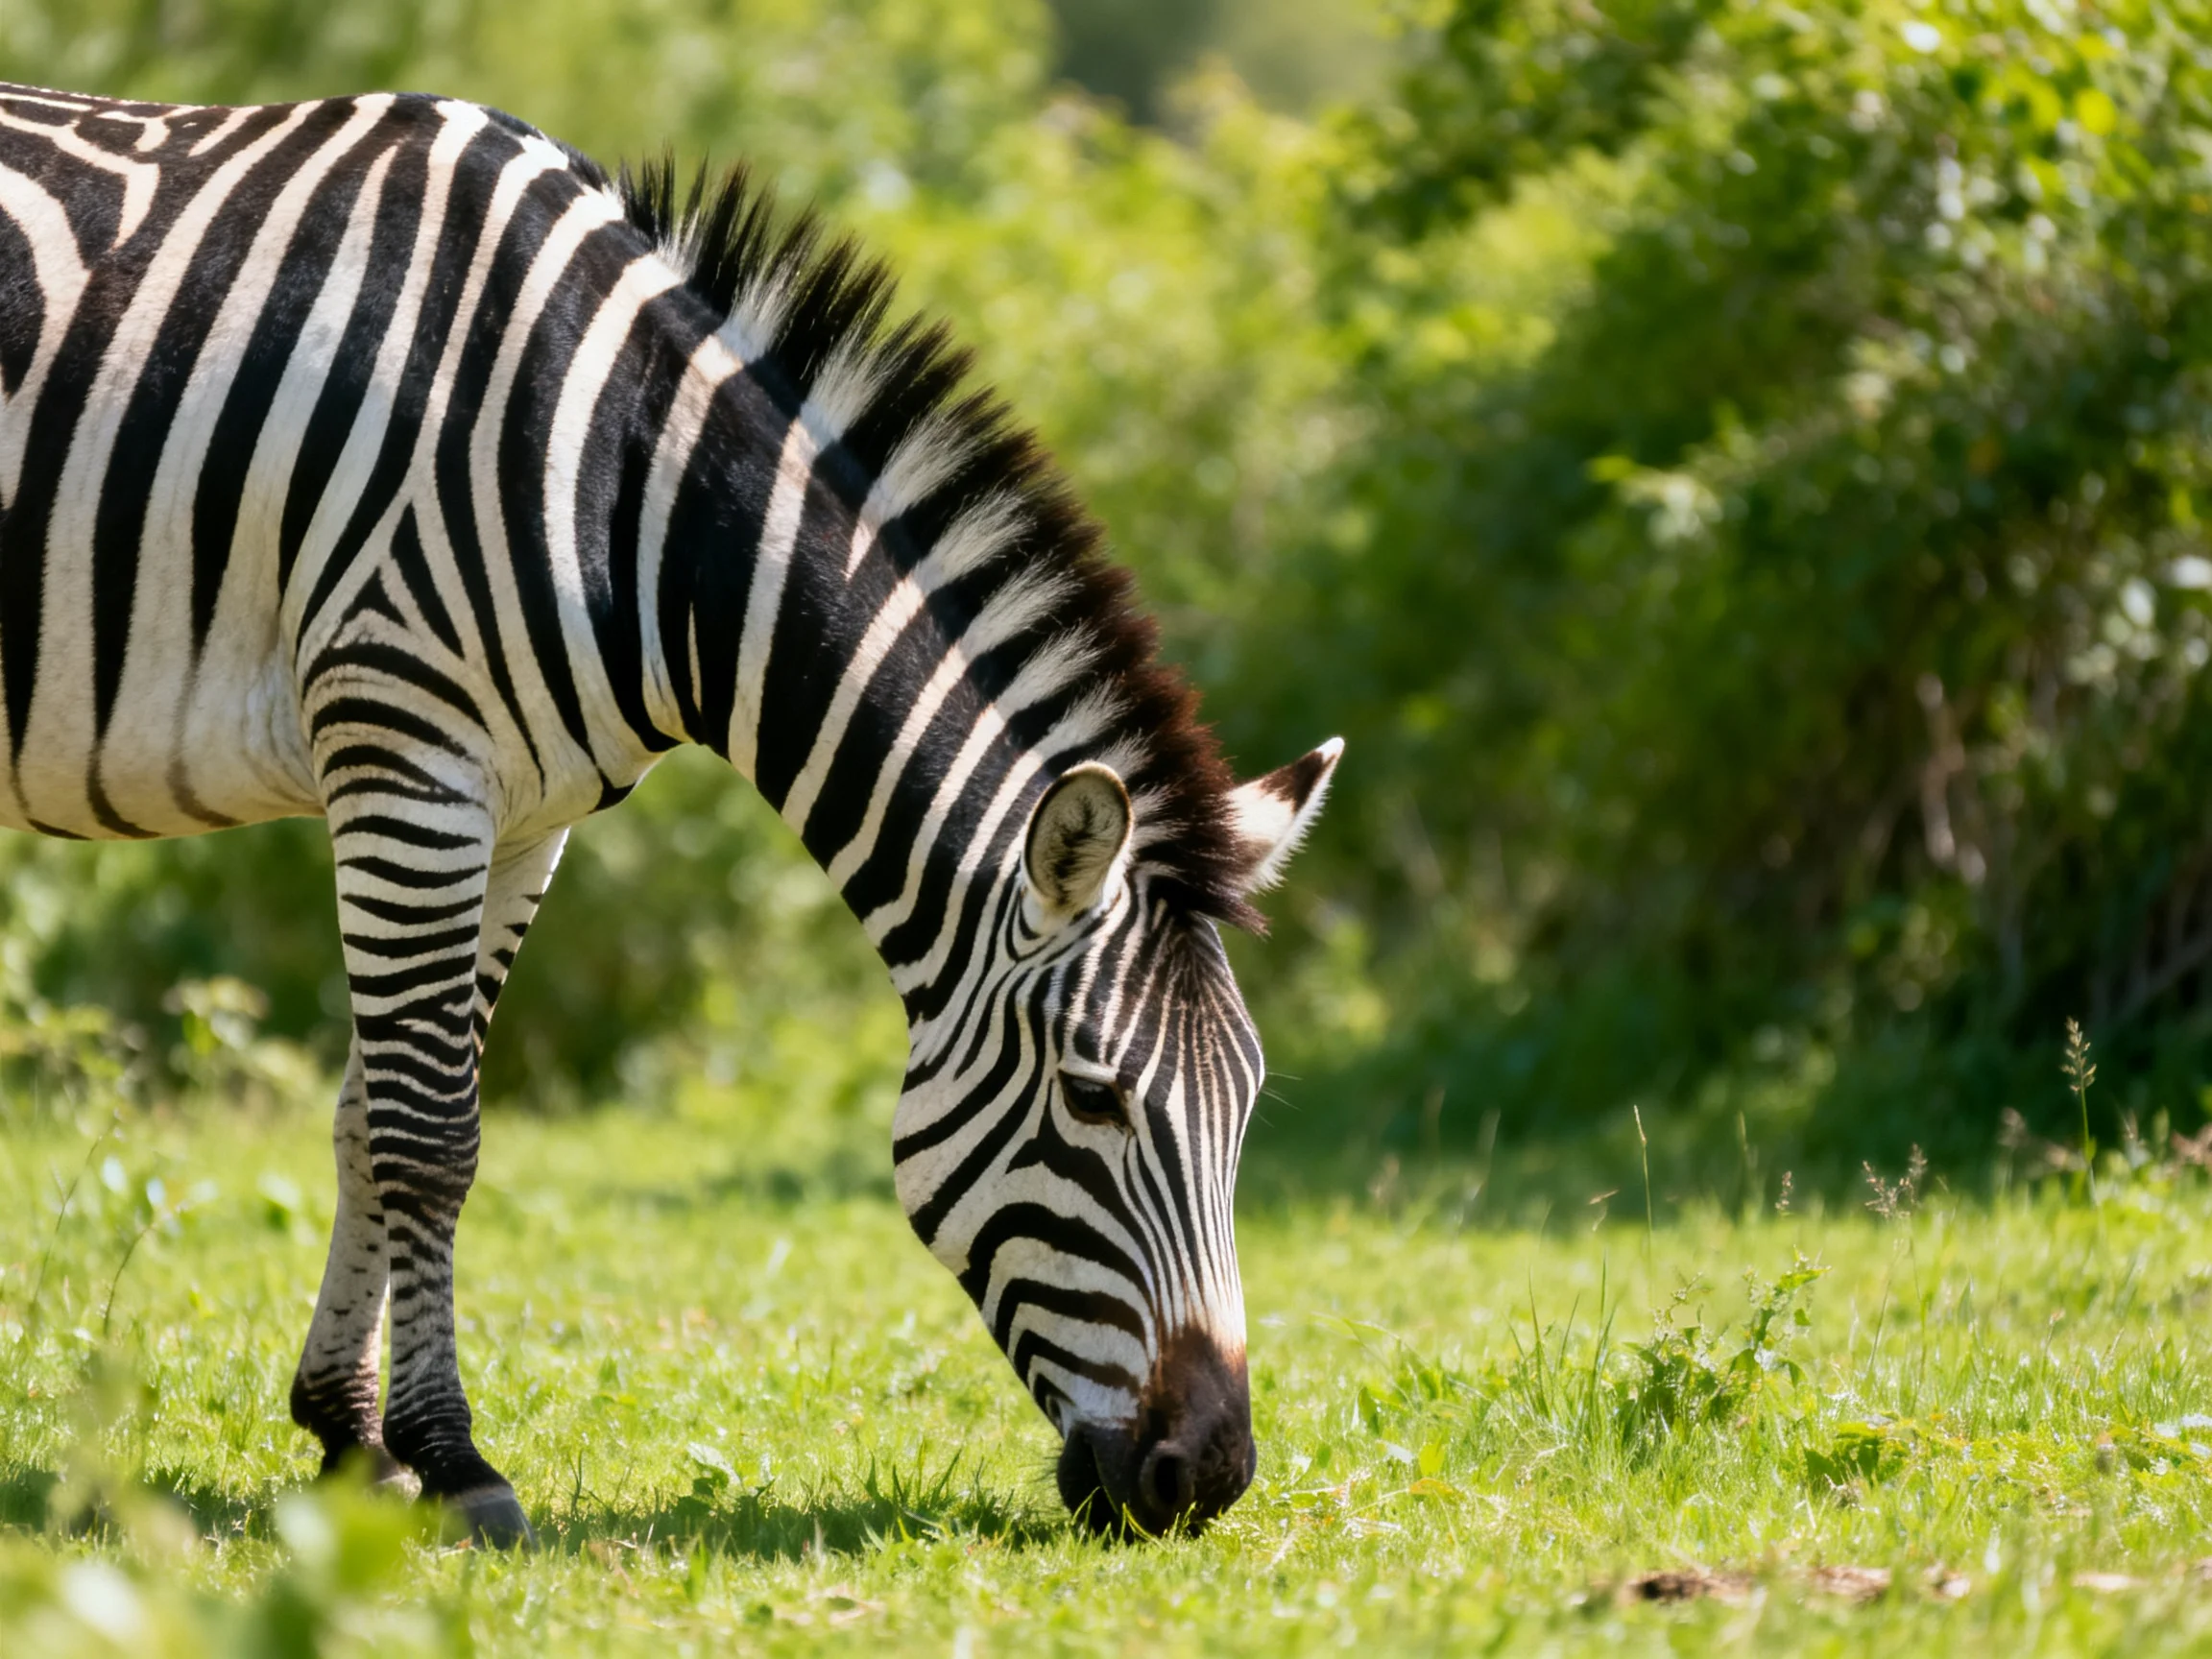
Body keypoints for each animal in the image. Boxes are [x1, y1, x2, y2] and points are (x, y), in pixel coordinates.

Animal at [0, 82, 1341, 1543]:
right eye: (1095, 1098)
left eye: (1249, 1103)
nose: (1208, 1479)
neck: (633, 496)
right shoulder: (406, 749)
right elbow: (431, 1137)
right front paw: (452, 1459)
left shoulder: (519, 814)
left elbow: (370, 1116)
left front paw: (350, 1438)